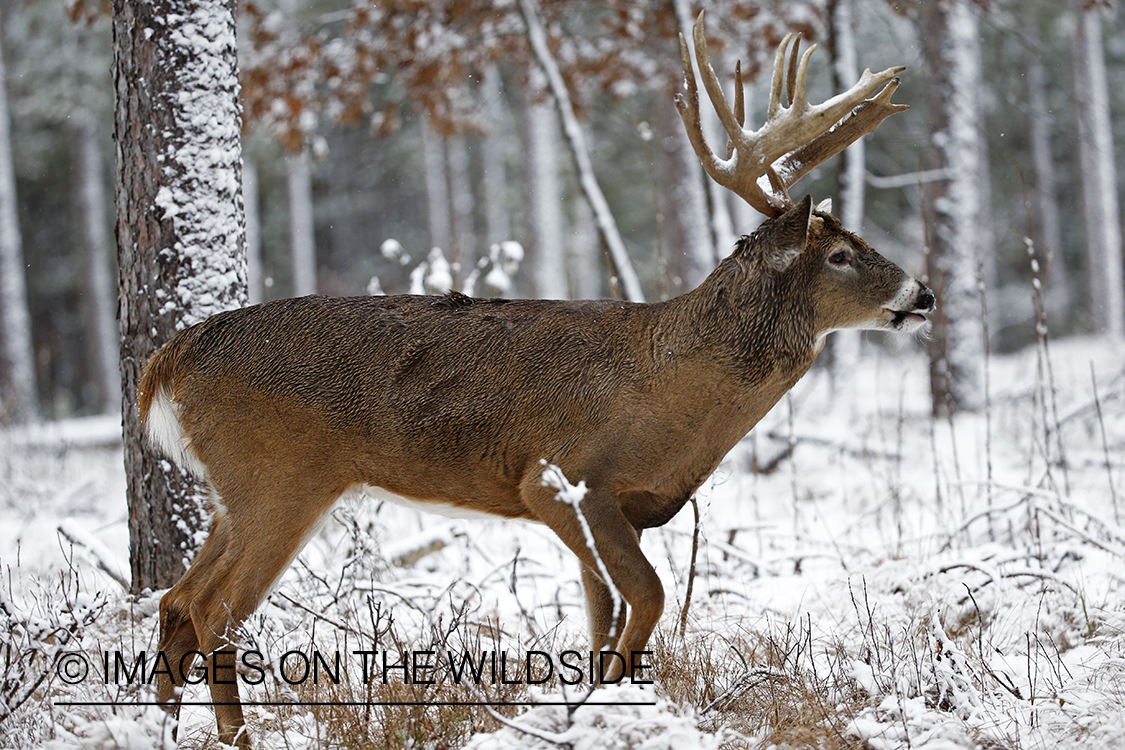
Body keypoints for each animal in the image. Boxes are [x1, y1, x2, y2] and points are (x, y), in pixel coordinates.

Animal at [138, 13, 931, 750]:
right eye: (838, 254)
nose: (922, 294)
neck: (675, 388)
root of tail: (171, 356)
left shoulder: (603, 507)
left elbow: (602, 616)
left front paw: (587, 709)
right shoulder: (558, 479)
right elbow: (647, 597)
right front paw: (601, 711)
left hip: (234, 493)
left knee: (175, 601)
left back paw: (158, 727)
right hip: (279, 478)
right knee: (214, 612)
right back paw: (234, 736)